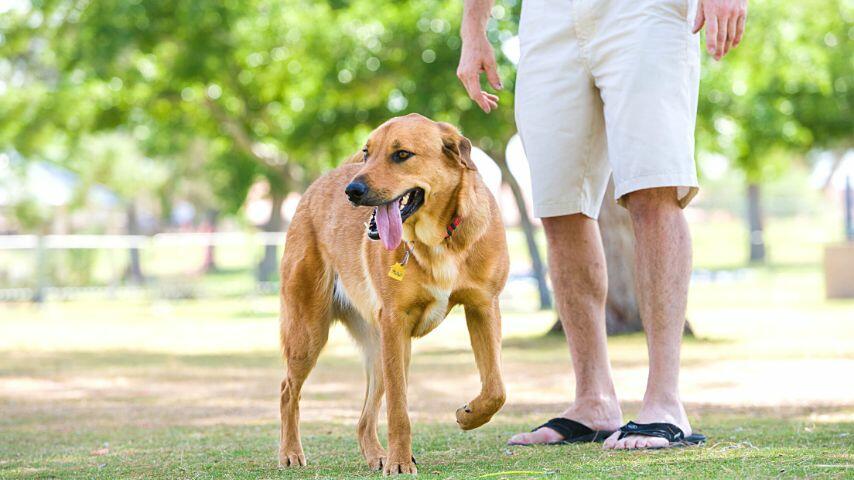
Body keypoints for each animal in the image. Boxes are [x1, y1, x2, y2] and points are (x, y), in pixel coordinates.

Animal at [280, 113, 508, 476]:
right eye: (367, 152)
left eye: (402, 155)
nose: (352, 191)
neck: (438, 241)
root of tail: (320, 183)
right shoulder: (395, 323)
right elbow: (399, 409)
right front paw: (400, 461)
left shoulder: (484, 307)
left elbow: (496, 388)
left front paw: (469, 415)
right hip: (311, 332)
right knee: (288, 391)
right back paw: (291, 452)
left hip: (380, 351)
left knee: (363, 419)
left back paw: (377, 454)